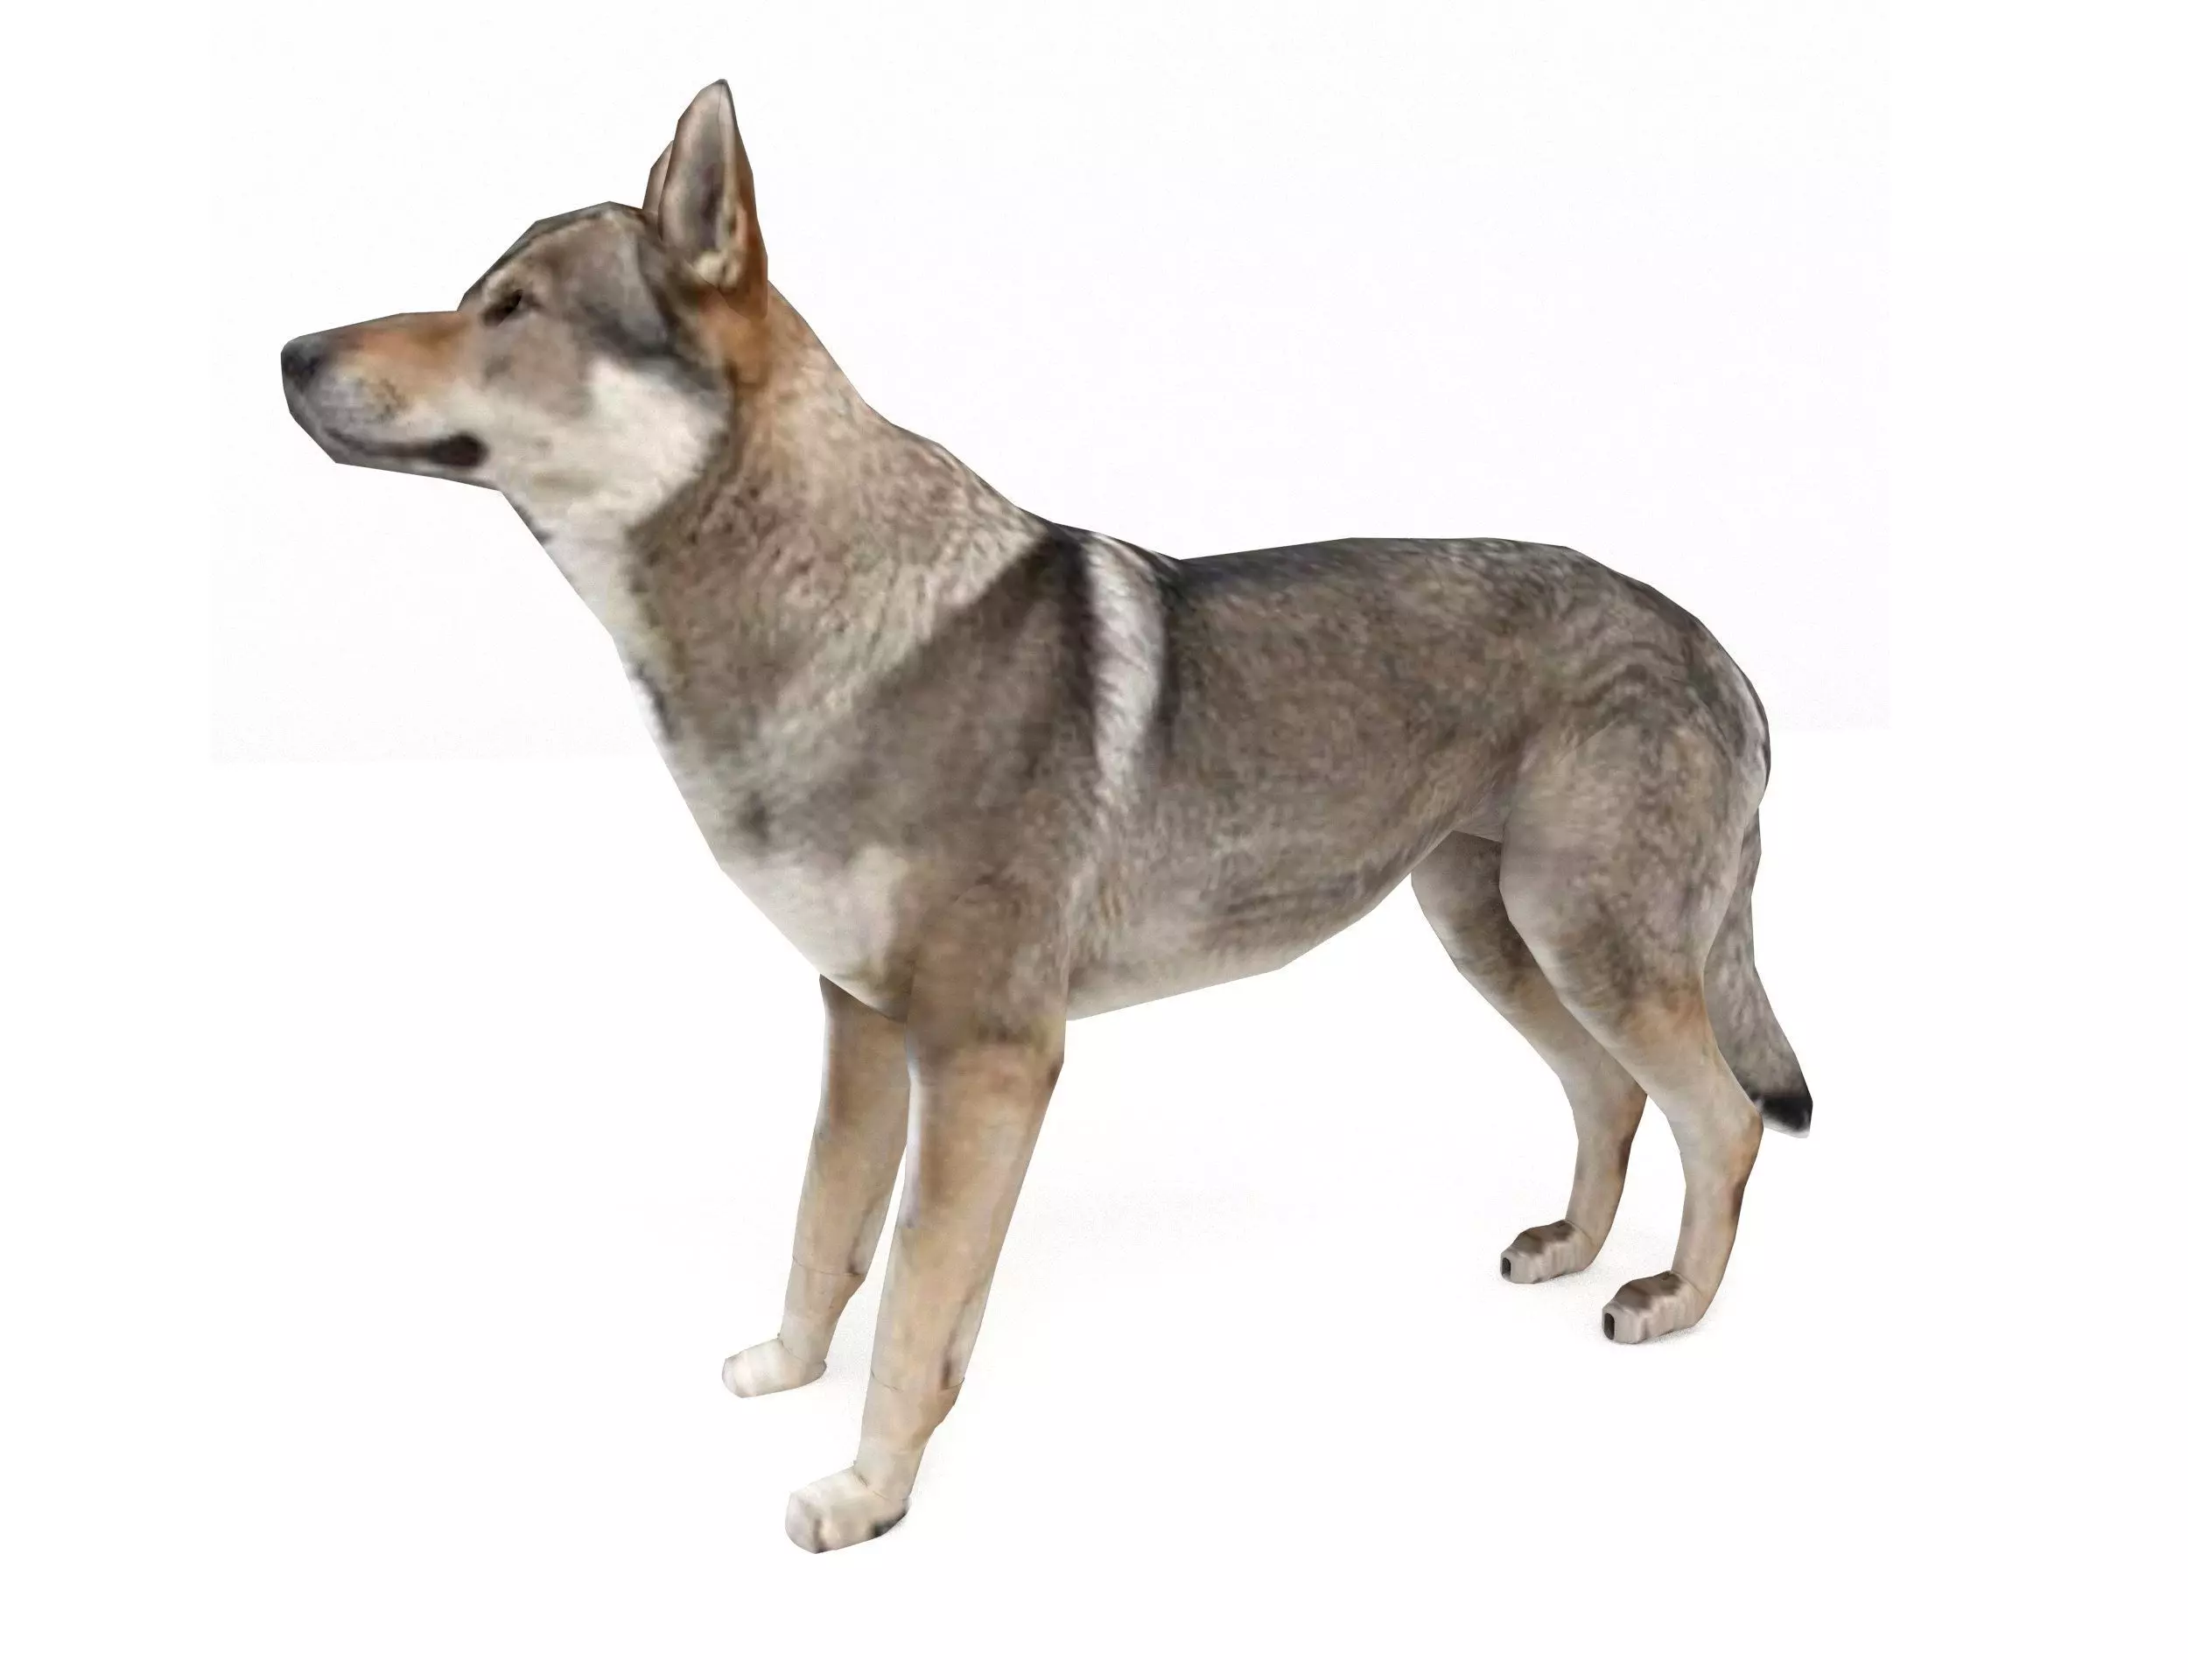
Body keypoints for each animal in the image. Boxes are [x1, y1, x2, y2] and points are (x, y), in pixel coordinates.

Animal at [281, 80, 1811, 1552]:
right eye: (477, 292)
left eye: (512, 309)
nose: (289, 353)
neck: (820, 627)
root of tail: (1713, 641)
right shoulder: (863, 1027)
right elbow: (826, 1236)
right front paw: (790, 1372)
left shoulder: (989, 1058)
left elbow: (912, 1302)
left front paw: (865, 1498)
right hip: (1495, 933)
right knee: (1616, 1095)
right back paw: (1571, 1251)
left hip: (1579, 939)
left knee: (1725, 1120)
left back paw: (1669, 1302)